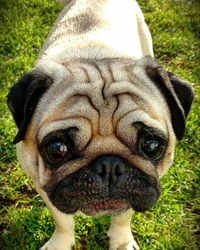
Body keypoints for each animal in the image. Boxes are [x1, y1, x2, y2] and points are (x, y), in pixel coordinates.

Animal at [6, 0, 194, 250]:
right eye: (57, 149)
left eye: (152, 145)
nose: (109, 166)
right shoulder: (41, 182)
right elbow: (62, 220)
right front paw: (61, 242)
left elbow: (123, 215)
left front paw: (121, 242)